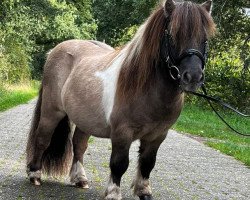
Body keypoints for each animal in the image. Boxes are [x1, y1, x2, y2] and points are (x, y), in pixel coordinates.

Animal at [26, 0, 216, 199]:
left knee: (78, 145)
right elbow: (119, 163)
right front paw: (113, 193)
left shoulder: (157, 135)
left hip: (85, 120)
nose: (193, 77)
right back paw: (35, 174)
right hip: (51, 112)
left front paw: (144, 191)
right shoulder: (122, 133)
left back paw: (80, 179)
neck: (146, 89)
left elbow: (147, 163)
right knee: (42, 139)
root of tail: (54, 51)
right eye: (172, 35)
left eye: (205, 38)